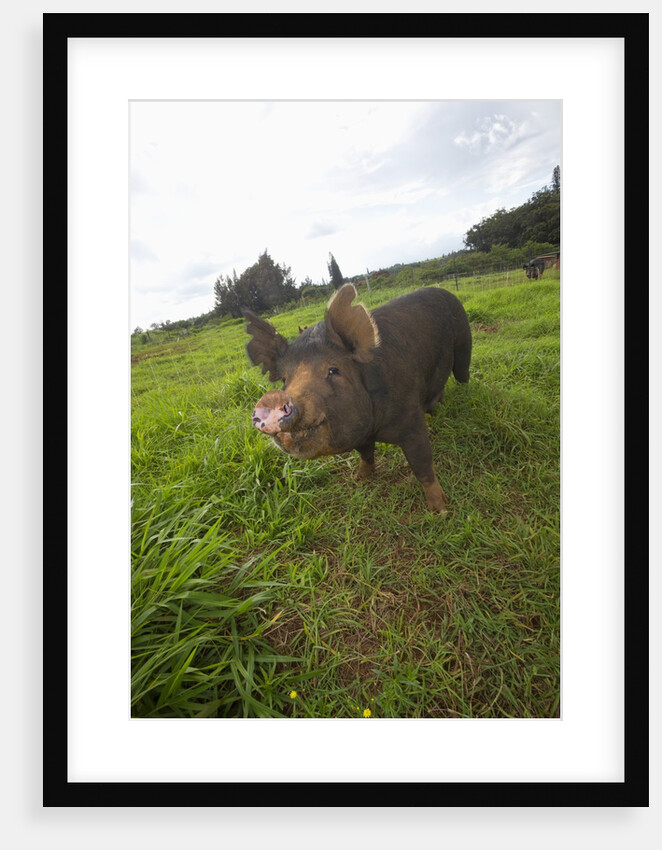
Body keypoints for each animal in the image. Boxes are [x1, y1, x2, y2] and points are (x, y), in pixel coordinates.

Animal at [242, 284, 472, 513]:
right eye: (284, 380)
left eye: (333, 370)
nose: (275, 398)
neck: (376, 430)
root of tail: (443, 290)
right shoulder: (361, 434)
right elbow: (365, 454)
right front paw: (359, 479)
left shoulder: (411, 421)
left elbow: (422, 464)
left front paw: (440, 510)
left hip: (464, 346)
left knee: (462, 375)